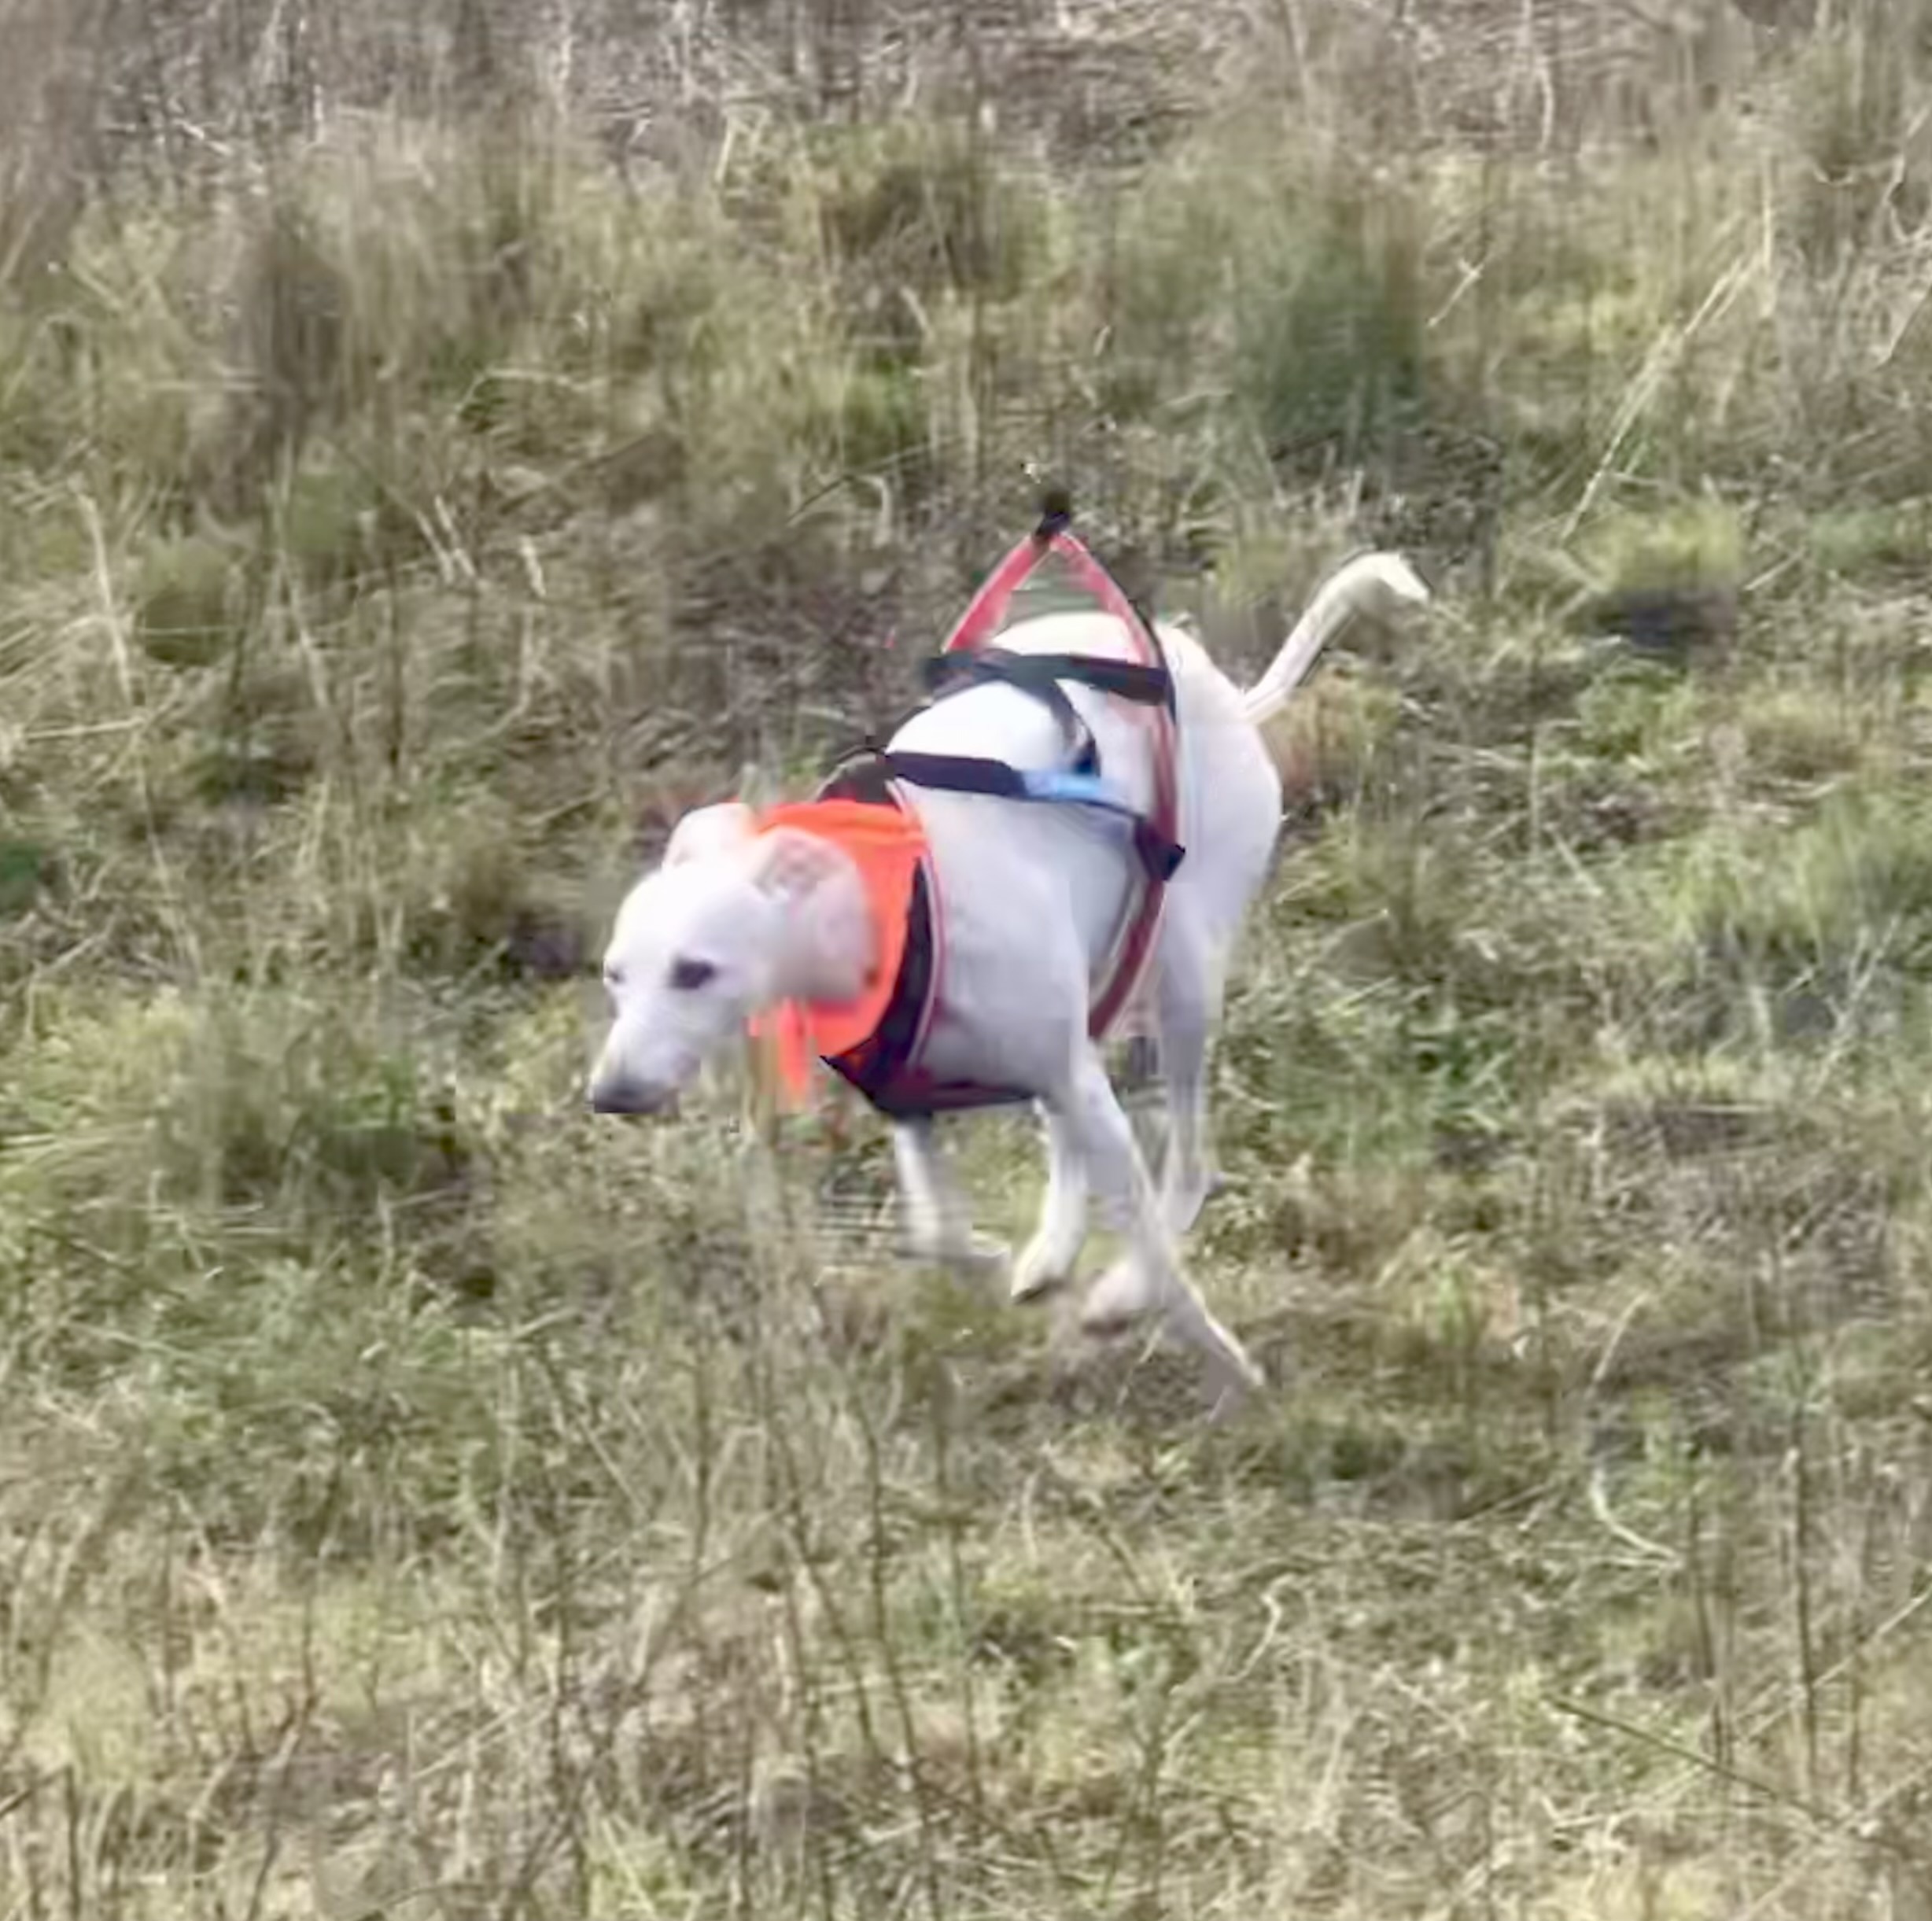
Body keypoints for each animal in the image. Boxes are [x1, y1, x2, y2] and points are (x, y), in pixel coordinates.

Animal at [589, 548, 1430, 1404]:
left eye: (695, 971)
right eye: (614, 976)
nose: (608, 1094)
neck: (882, 906)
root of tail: (1215, 683)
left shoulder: (1063, 1076)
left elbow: (1160, 1262)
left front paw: (1222, 1362)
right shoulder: (912, 1102)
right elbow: (940, 1229)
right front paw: (996, 1259)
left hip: (1182, 974)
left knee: (1189, 1160)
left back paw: (1121, 1284)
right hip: (1090, 999)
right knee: (1073, 1128)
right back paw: (1053, 1248)